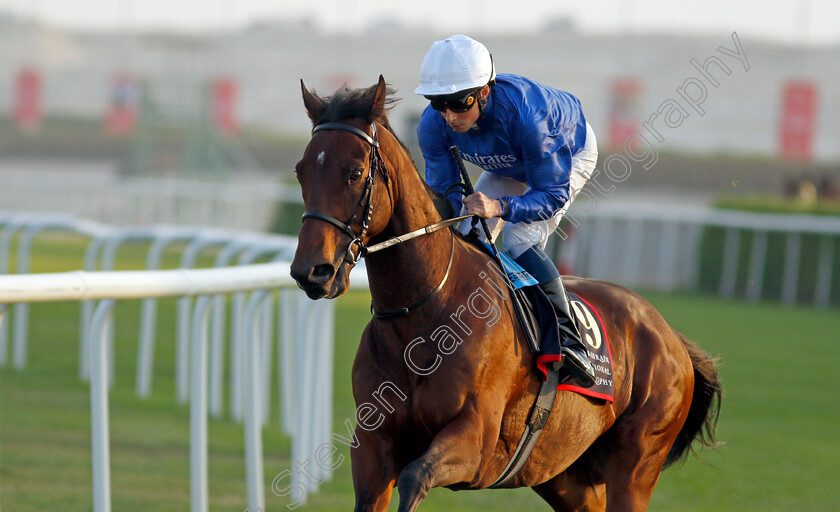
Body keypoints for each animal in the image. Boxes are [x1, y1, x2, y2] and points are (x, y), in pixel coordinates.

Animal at [290, 77, 720, 512]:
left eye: (355, 172)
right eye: (301, 170)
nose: (312, 271)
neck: (425, 315)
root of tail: (670, 336)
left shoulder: (476, 445)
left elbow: (415, 477)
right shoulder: (373, 447)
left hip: (637, 465)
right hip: (565, 476)